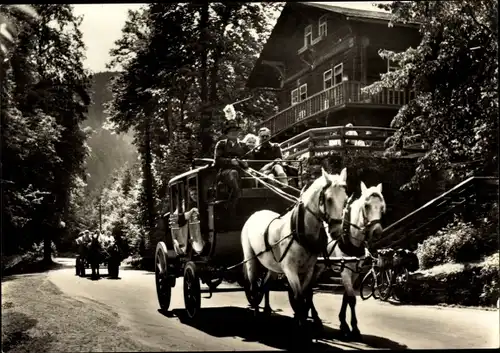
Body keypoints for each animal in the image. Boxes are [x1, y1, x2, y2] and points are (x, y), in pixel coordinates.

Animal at [241, 168, 348, 332]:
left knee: (265, 285)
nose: (336, 232)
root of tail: (255, 213)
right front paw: (300, 324)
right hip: (251, 259)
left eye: (345, 200)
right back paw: (256, 312)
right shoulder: (290, 270)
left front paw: (302, 319)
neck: (300, 232)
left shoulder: (308, 270)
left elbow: (304, 296)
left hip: (272, 265)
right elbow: (298, 297)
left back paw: (266, 310)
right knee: (254, 287)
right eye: (329, 199)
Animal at [308, 180, 386, 340]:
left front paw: (343, 323)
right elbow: (351, 298)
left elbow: (346, 297)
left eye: (382, 207)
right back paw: (316, 318)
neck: (350, 235)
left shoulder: (355, 271)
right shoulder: (344, 271)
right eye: (366, 206)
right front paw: (353, 328)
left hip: (319, 267)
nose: (377, 232)